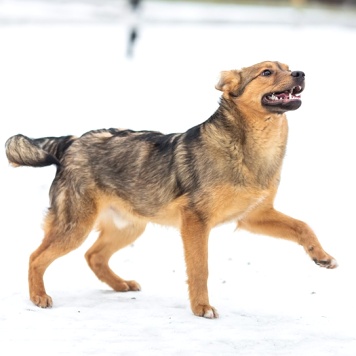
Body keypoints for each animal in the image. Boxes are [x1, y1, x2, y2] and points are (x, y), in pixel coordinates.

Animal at [6, 60, 340, 318]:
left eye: (287, 66)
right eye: (267, 72)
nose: (300, 73)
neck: (251, 148)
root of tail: (72, 141)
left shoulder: (255, 216)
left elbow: (303, 226)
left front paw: (322, 256)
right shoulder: (196, 221)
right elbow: (200, 269)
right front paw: (202, 308)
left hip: (129, 227)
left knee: (93, 256)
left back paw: (120, 285)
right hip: (75, 226)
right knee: (36, 257)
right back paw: (38, 297)